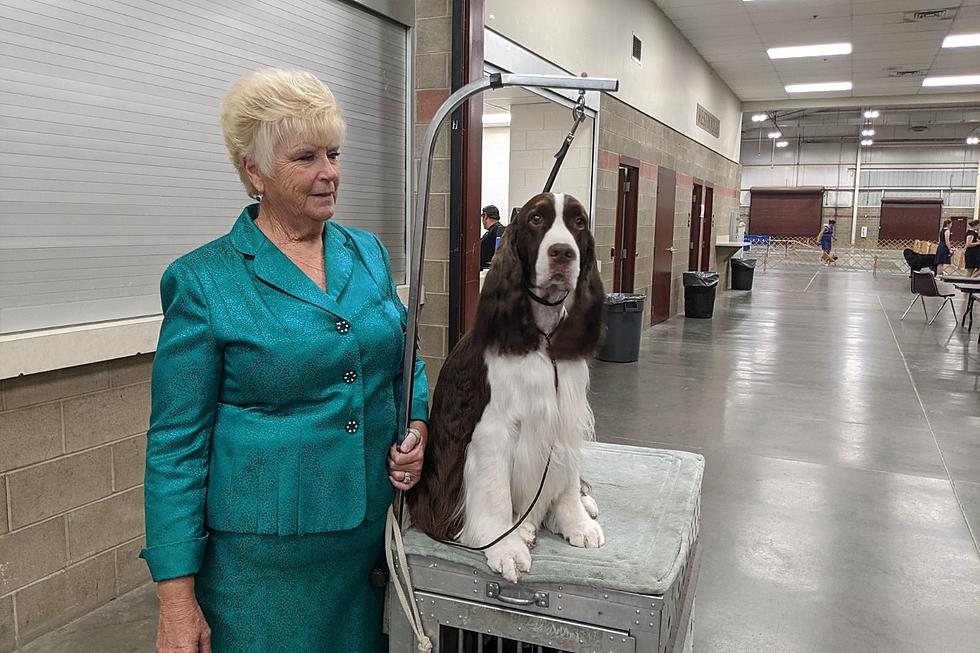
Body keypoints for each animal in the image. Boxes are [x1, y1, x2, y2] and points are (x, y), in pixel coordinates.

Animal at [406, 190, 604, 580]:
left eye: (579, 222)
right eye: (536, 219)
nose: (563, 253)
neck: (541, 338)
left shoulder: (566, 414)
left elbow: (568, 480)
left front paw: (576, 523)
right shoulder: (494, 430)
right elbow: (495, 494)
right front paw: (505, 546)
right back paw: (522, 528)